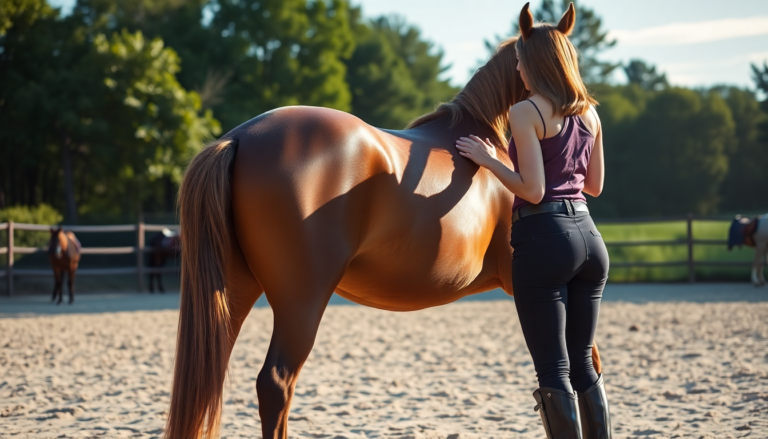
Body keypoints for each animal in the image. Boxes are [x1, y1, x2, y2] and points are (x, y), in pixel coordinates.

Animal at [166, 12, 603, 439]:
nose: (581, 108)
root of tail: (239, 138)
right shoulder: (525, 285)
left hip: (235, 290)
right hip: (300, 301)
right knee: (276, 383)